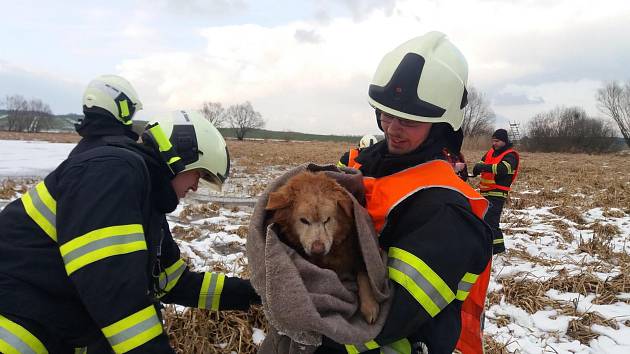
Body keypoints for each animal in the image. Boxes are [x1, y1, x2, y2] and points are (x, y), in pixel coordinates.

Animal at [0, 75, 260, 354]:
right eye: (199, 175)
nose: (193, 188)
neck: (150, 165)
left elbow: (177, 277)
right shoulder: (112, 178)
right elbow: (115, 292)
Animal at [266, 171, 380, 324]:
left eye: (327, 220)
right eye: (304, 220)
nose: (318, 249)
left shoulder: (358, 253)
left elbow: (365, 274)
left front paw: (370, 305)